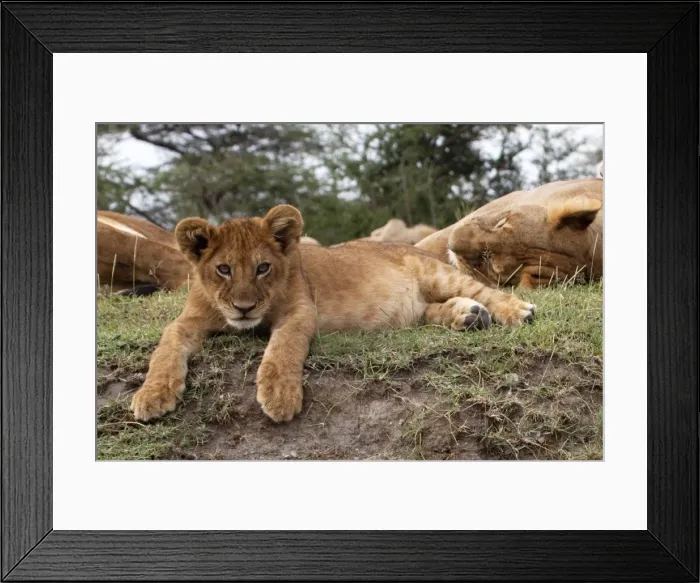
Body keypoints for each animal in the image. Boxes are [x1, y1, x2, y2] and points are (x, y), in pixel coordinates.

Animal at [130, 205, 536, 423]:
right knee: (434, 310)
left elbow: (283, 348)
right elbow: (165, 349)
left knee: (486, 291)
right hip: (417, 308)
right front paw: (151, 397)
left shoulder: (300, 310)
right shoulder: (187, 321)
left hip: (437, 274)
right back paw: (469, 316)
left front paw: (279, 395)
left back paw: (517, 311)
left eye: (262, 268)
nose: (244, 308)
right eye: (224, 269)